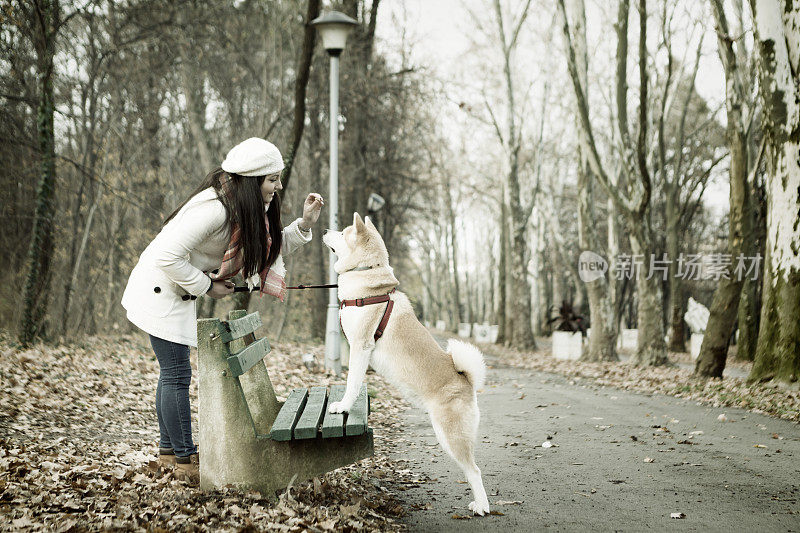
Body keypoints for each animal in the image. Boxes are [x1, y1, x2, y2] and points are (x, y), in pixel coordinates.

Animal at [322, 212, 490, 516]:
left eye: (343, 233)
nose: (326, 230)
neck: (365, 280)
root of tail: (466, 381)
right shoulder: (354, 348)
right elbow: (355, 379)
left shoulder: (360, 346)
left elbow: (352, 382)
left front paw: (343, 406)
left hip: (450, 436)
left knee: (474, 471)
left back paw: (482, 506)